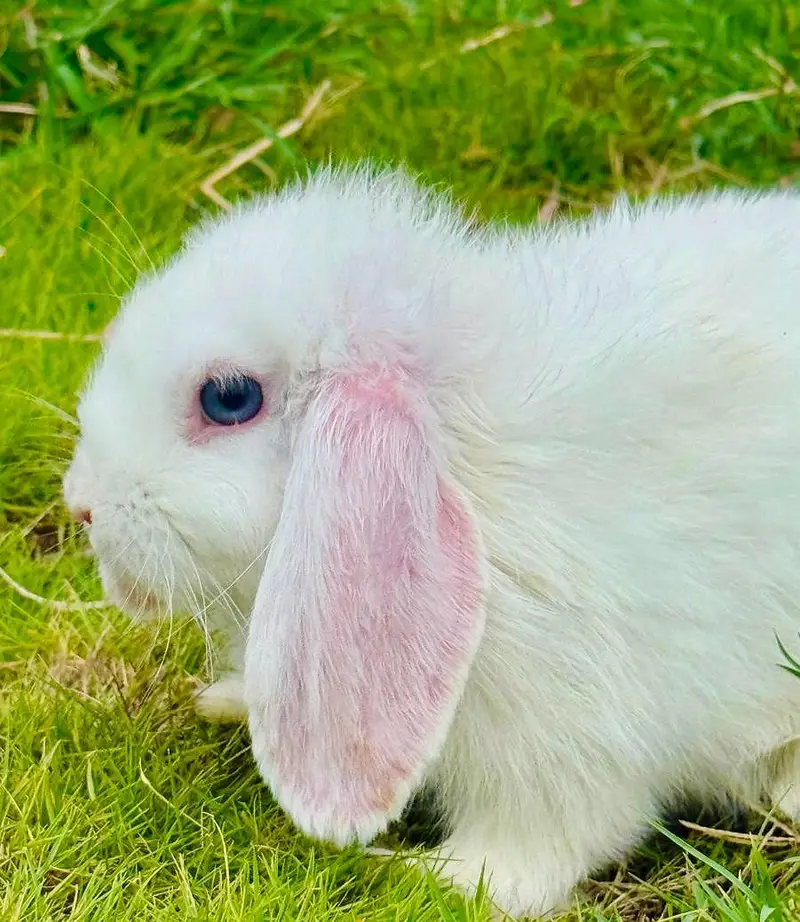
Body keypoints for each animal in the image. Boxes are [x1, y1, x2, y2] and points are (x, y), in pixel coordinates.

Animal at [63, 164, 800, 919]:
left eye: (229, 398)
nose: (82, 504)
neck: (465, 468)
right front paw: (225, 701)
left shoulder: (568, 744)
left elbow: (542, 847)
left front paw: (431, 876)